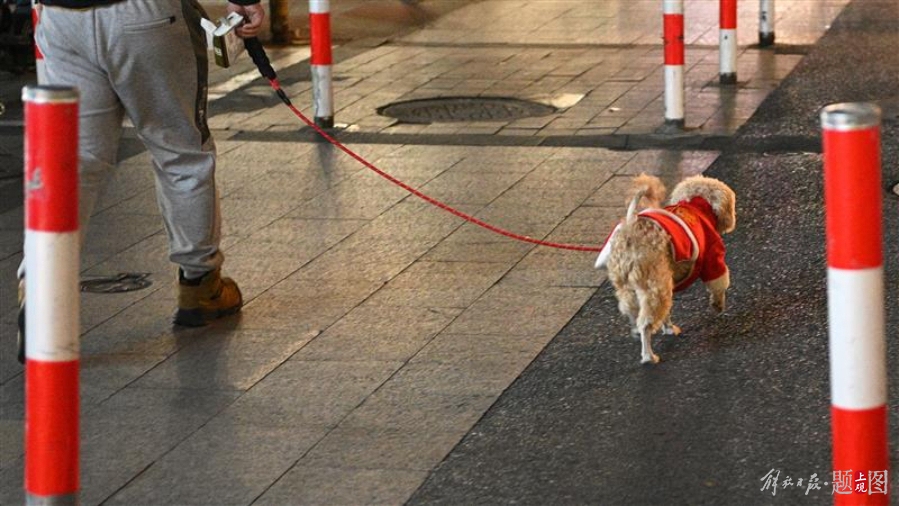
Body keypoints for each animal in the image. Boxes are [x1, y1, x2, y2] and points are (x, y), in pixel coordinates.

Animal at [596, 174, 736, 364]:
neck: (696, 205)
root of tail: (631, 226)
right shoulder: (712, 255)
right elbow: (718, 284)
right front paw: (718, 305)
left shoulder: (668, 276)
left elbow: (667, 310)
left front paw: (668, 327)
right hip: (654, 283)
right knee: (646, 323)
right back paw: (648, 355)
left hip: (630, 285)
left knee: (632, 310)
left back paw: (638, 331)